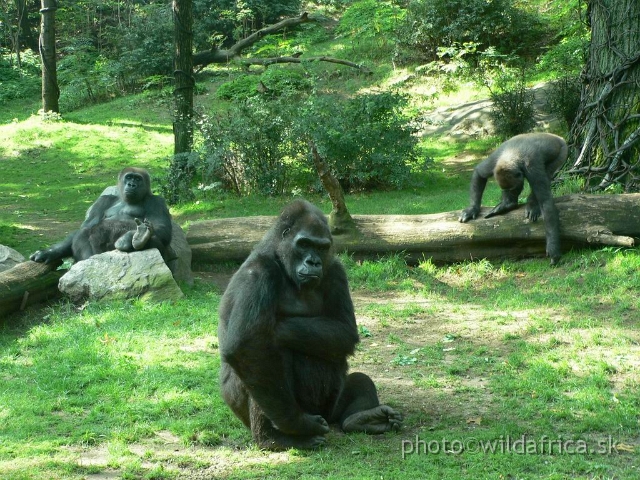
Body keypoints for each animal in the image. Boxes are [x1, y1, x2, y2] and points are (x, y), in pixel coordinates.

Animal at [30, 168, 172, 266]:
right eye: (129, 177)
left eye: (138, 179)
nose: (132, 185)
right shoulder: (103, 200)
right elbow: (86, 226)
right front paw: (49, 252)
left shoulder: (157, 201)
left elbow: (163, 229)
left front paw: (131, 236)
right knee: (84, 231)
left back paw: (136, 239)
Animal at [218, 198, 402, 450]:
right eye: (304, 244)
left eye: (322, 247)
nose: (313, 261)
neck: (280, 258)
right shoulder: (257, 273)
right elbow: (247, 346)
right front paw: (297, 423)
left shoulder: (335, 269)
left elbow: (344, 331)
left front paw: (281, 329)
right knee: (266, 359)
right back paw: (273, 438)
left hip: (330, 411)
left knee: (357, 383)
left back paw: (363, 418)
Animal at [458, 133, 568, 264]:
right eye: (507, 189)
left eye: (513, 188)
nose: (509, 193)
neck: (514, 153)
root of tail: (557, 137)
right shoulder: (495, 161)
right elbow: (479, 173)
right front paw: (472, 209)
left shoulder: (532, 165)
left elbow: (546, 202)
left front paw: (553, 248)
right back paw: (508, 204)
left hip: (562, 152)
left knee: (548, 173)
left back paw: (531, 204)